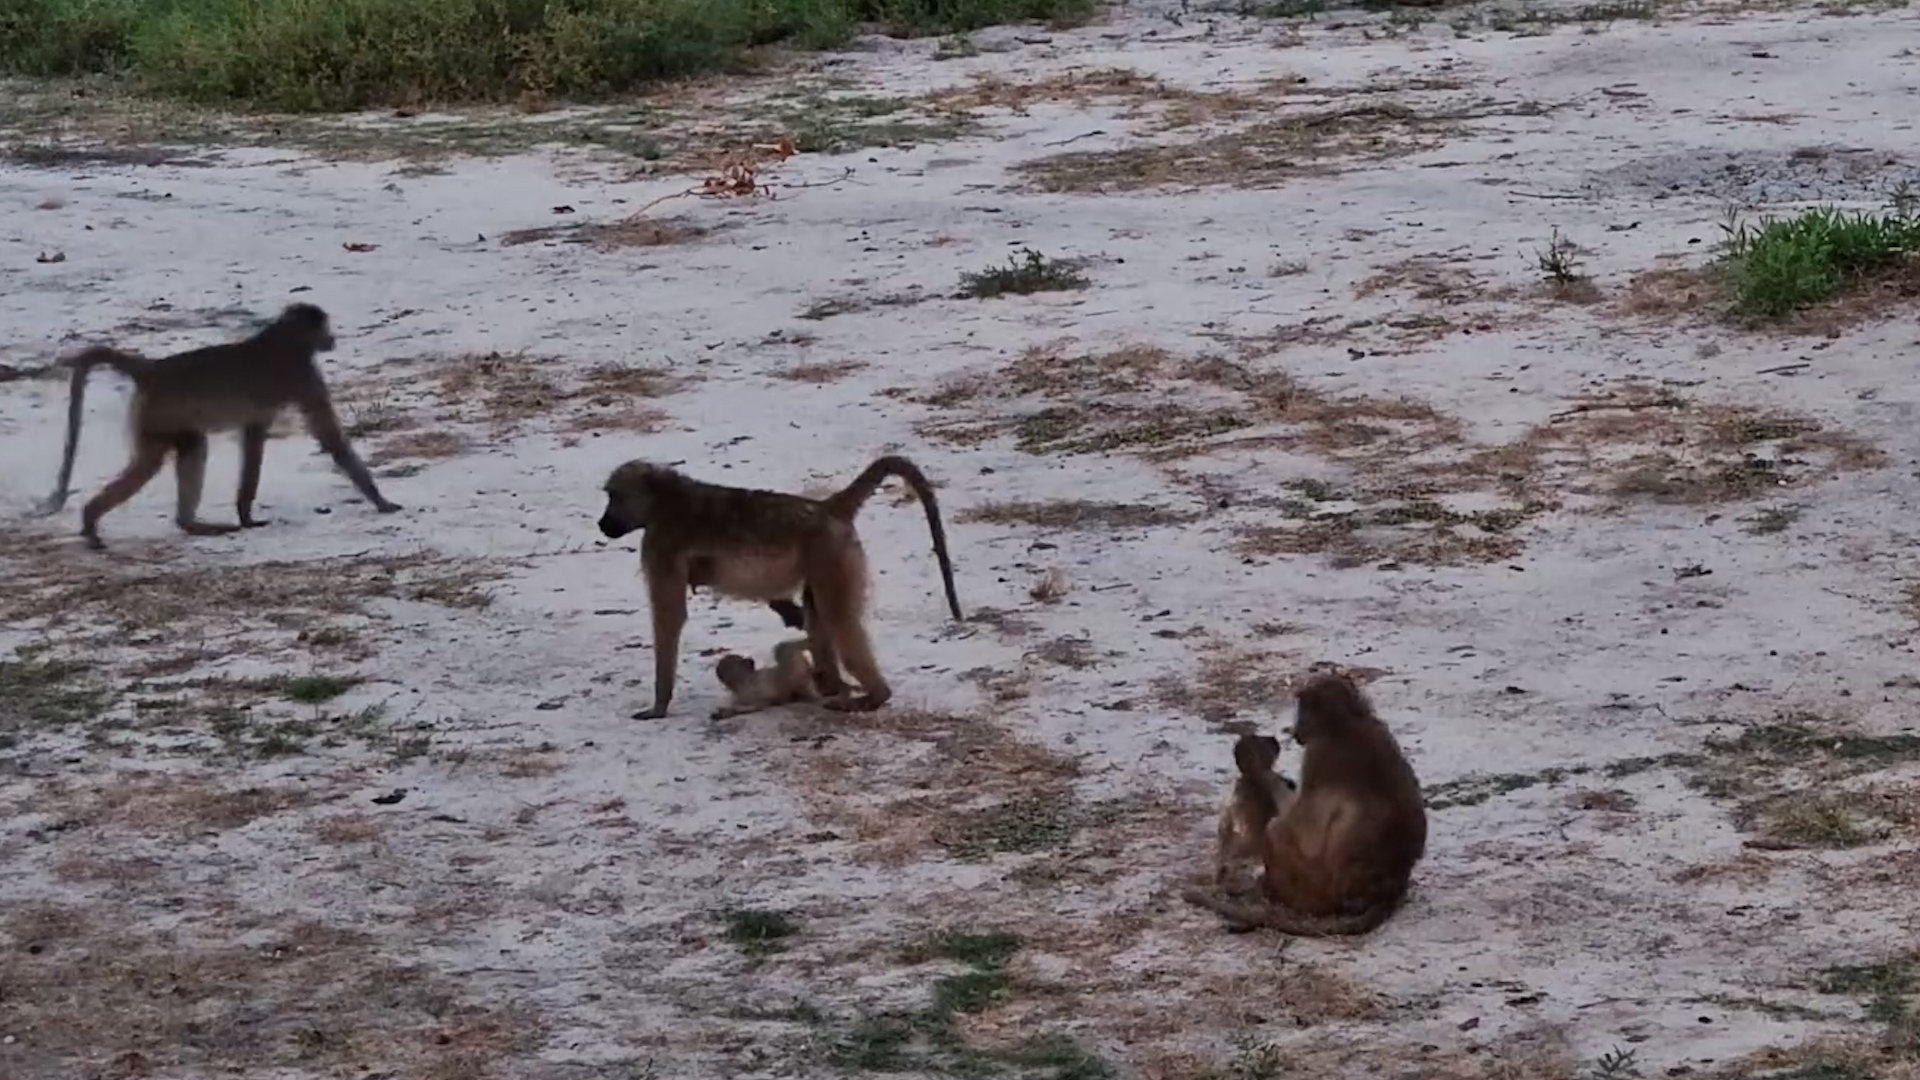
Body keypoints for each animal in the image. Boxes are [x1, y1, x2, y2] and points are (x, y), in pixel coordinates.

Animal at [33, 303, 401, 550]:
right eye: (324, 328)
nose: (332, 339)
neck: (283, 338)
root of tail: (152, 369)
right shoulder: (302, 374)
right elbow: (330, 436)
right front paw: (382, 501)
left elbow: (254, 439)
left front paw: (246, 514)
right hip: (160, 414)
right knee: (168, 456)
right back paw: (98, 519)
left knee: (179, 450)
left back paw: (179, 523)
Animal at [596, 454, 963, 720]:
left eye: (615, 496)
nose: (602, 524)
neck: (663, 500)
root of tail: (827, 508)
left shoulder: (661, 546)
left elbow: (669, 616)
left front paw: (659, 706)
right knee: (821, 621)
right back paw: (832, 685)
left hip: (831, 555)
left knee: (839, 620)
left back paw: (871, 695)